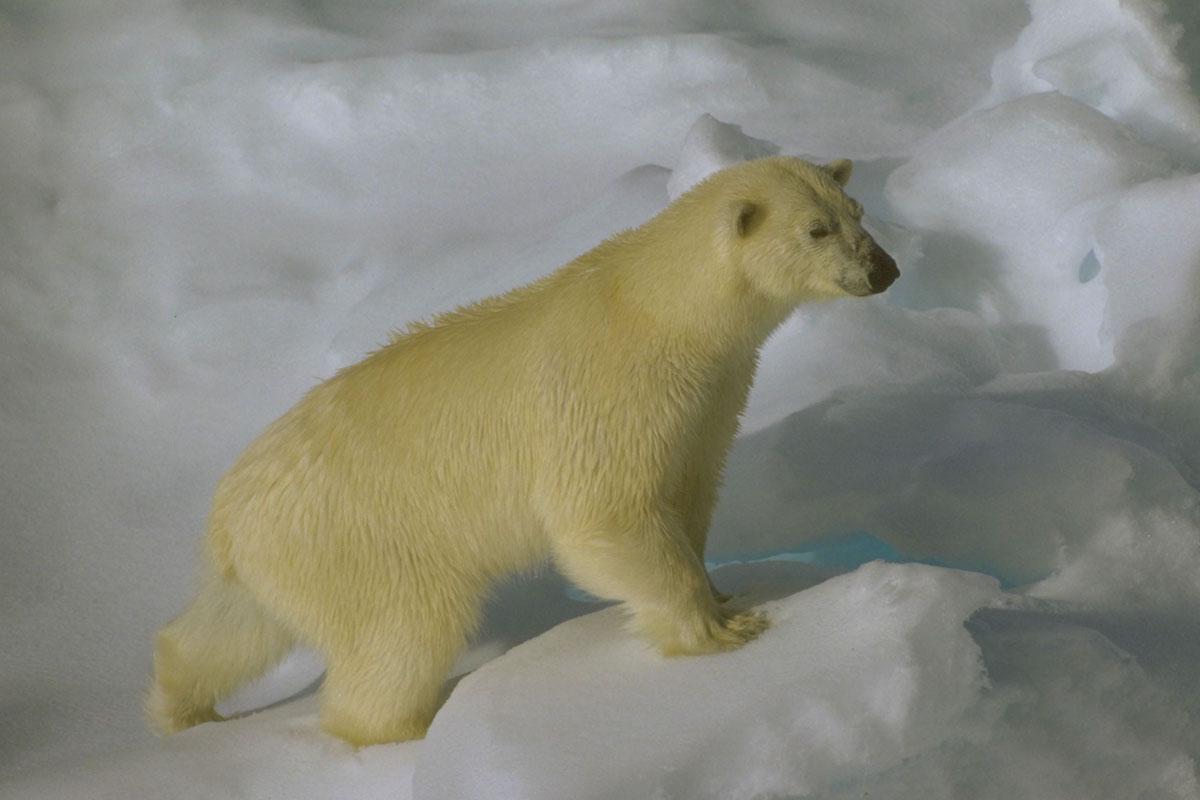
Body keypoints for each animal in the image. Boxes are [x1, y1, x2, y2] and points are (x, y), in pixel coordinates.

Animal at [147, 154, 902, 743]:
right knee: (403, 633)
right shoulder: (611, 396)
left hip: (285, 555)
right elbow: (604, 515)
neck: (661, 312)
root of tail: (227, 513)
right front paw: (723, 632)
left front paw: (725, 591)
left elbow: (688, 492)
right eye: (816, 228)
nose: (885, 270)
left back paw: (182, 705)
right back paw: (403, 731)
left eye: (857, 209)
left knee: (235, 627)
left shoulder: (709, 401)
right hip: (367, 534)